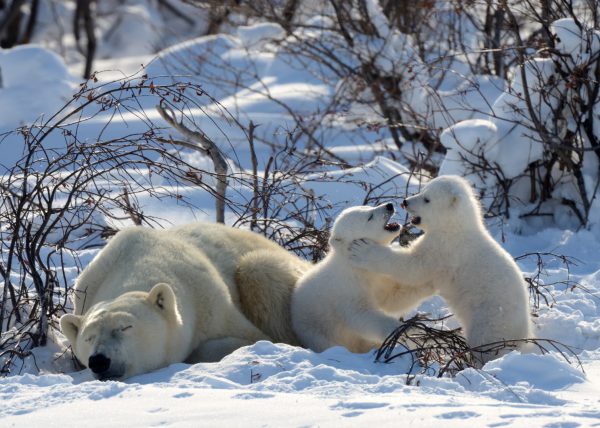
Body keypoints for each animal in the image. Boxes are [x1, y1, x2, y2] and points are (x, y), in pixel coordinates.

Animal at [59, 222, 310, 380]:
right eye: (89, 337)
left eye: (125, 327)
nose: (99, 361)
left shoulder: (212, 303)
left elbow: (253, 337)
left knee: (258, 269)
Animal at [292, 203, 436, 352]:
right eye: (369, 217)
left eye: (368, 206)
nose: (389, 206)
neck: (355, 267)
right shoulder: (348, 288)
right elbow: (362, 315)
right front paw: (403, 331)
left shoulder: (378, 278)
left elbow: (392, 299)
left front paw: (429, 283)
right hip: (319, 333)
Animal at [350, 176, 532, 362]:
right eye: (423, 190)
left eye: (427, 199)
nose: (405, 202)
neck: (454, 227)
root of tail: (522, 337)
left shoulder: (445, 249)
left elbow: (413, 267)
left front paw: (362, 250)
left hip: (491, 320)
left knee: (485, 342)